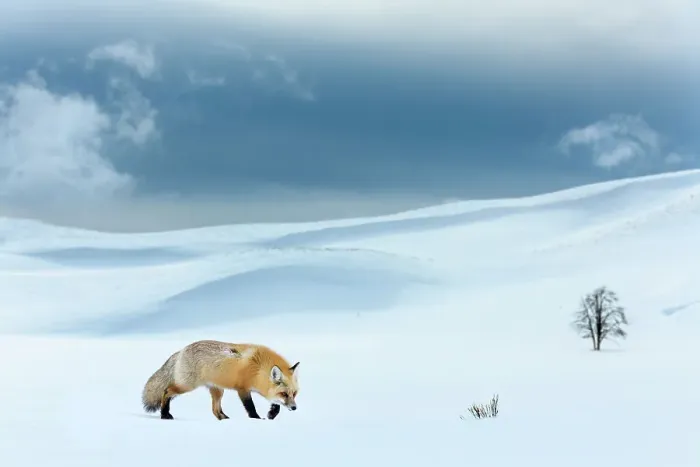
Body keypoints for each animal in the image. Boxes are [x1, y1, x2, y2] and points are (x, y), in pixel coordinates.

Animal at [141, 339, 300, 421]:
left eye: (294, 394)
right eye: (284, 394)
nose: (294, 408)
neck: (258, 368)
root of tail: (181, 351)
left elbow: (276, 405)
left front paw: (271, 414)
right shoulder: (242, 389)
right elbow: (250, 406)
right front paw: (256, 419)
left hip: (218, 391)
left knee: (215, 410)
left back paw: (225, 419)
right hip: (186, 386)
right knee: (166, 391)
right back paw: (164, 414)